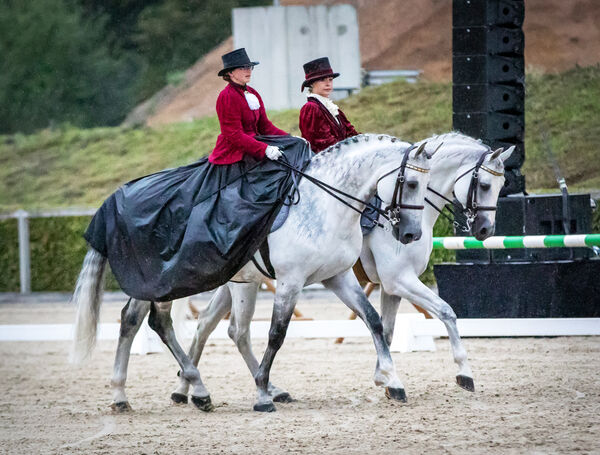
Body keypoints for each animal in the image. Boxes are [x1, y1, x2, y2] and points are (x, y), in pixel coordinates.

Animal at [171, 133, 512, 406]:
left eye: (501, 185)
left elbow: (385, 327)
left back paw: (187, 388)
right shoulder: (399, 280)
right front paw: (463, 372)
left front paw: (384, 379)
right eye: (484, 185)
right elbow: (445, 311)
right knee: (221, 326)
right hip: (241, 281)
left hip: (239, 281)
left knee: (210, 324)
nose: (485, 229)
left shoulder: (390, 287)